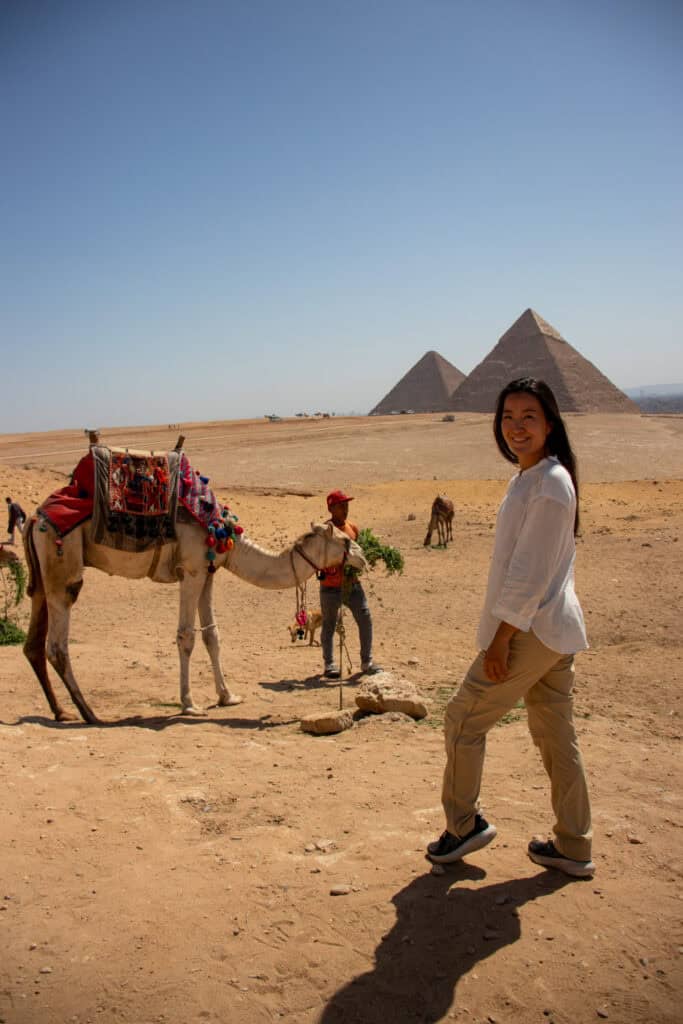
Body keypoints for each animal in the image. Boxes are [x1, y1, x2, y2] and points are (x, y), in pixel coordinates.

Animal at [24, 516, 366, 724]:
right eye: (342, 540)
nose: (362, 555)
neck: (225, 537)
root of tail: (34, 518)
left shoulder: (209, 570)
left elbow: (212, 635)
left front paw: (228, 696)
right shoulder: (191, 570)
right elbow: (186, 636)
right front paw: (189, 704)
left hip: (41, 577)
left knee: (33, 645)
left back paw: (61, 711)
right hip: (62, 565)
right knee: (57, 645)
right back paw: (90, 713)